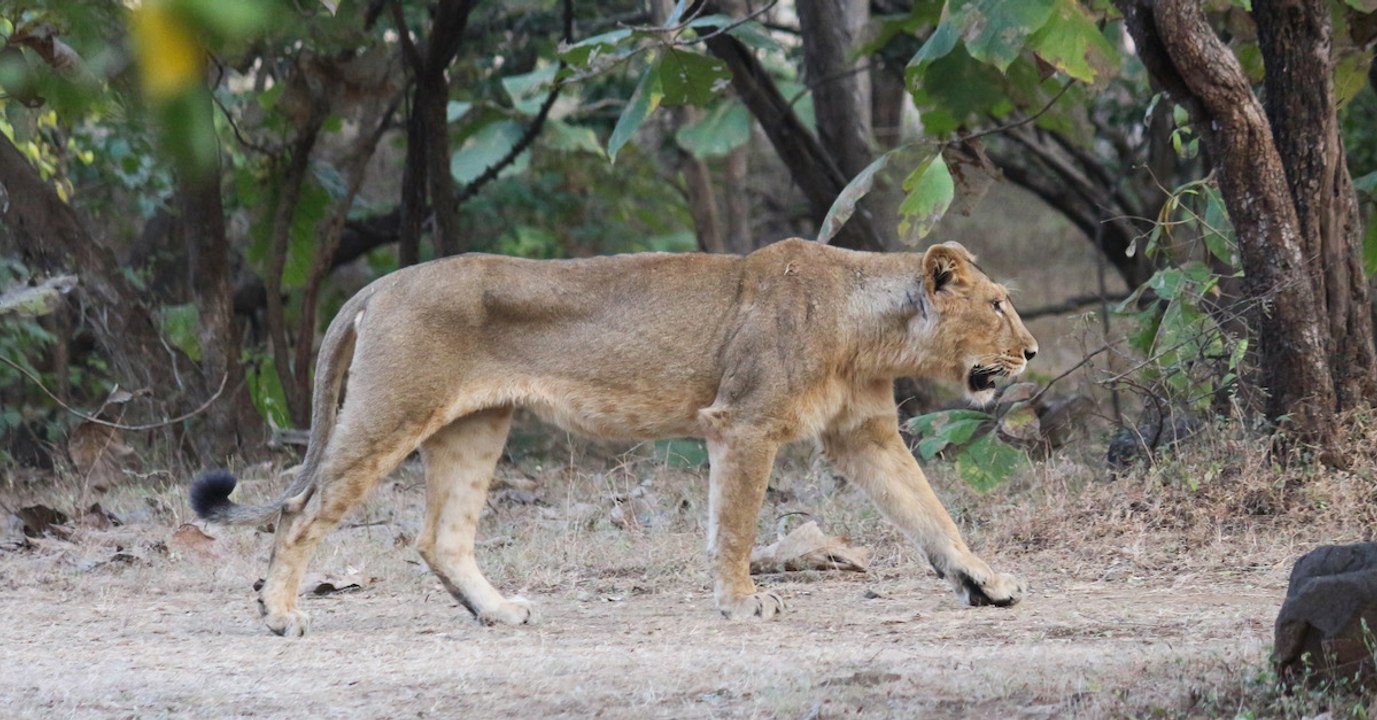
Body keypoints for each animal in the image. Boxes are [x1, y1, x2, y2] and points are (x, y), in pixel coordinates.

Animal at [191, 238, 1037, 636]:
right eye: (998, 304)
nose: (1031, 352)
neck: (869, 330)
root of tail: (382, 281)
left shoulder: (864, 436)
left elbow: (931, 514)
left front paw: (983, 583)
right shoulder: (743, 422)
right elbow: (735, 525)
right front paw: (741, 603)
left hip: (473, 428)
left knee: (440, 538)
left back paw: (497, 613)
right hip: (389, 412)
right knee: (299, 513)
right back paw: (280, 615)